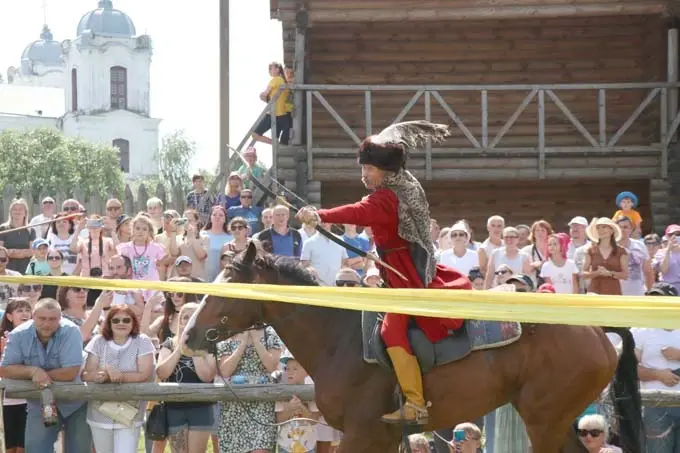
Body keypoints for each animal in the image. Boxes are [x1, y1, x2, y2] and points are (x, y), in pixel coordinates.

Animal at [186, 244, 644, 452]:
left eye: (228, 288)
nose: (189, 334)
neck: (339, 338)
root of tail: (595, 329)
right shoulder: (383, 437)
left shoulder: (363, 433)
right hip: (555, 419)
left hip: (544, 420)